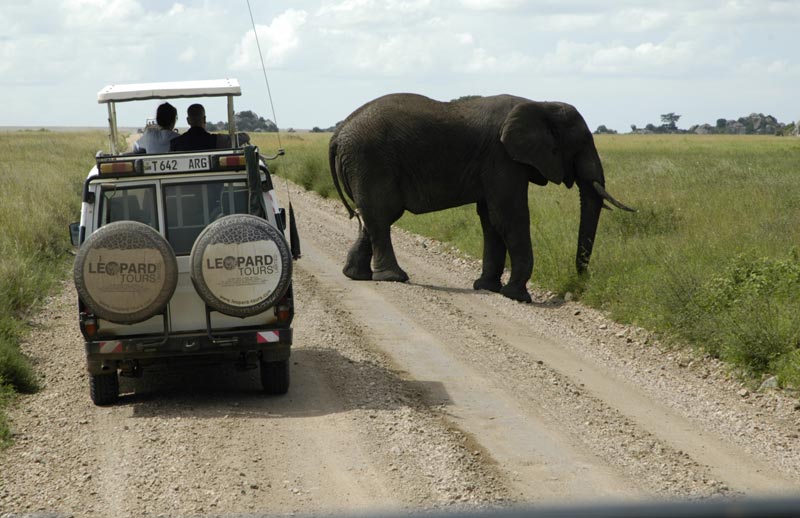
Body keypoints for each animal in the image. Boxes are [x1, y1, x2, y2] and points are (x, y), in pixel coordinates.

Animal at [328, 94, 636, 304]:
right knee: (382, 216)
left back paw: (355, 275)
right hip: (371, 161)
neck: (540, 104)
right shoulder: (502, 159)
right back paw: (394, 278)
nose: (580, 283)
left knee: (371, 218)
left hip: (363, 165)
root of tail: (338, 132)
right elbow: (509, 217)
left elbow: (491, 219)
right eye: (581, 144)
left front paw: (487, 288)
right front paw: (517, 297)